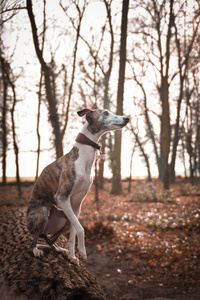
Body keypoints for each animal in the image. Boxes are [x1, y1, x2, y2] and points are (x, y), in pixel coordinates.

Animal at [26, 108, 129, 264]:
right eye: (105, 112)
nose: (127, 118)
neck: (84, 159)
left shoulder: (76, 204)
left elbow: (73, 233)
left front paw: (72, 256)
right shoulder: (62, 198)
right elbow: (80, 229)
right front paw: (82, 251)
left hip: (65, 219)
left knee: (49, 238)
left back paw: (58, 249)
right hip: (42, 213)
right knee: (34, 240)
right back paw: (36, 250)